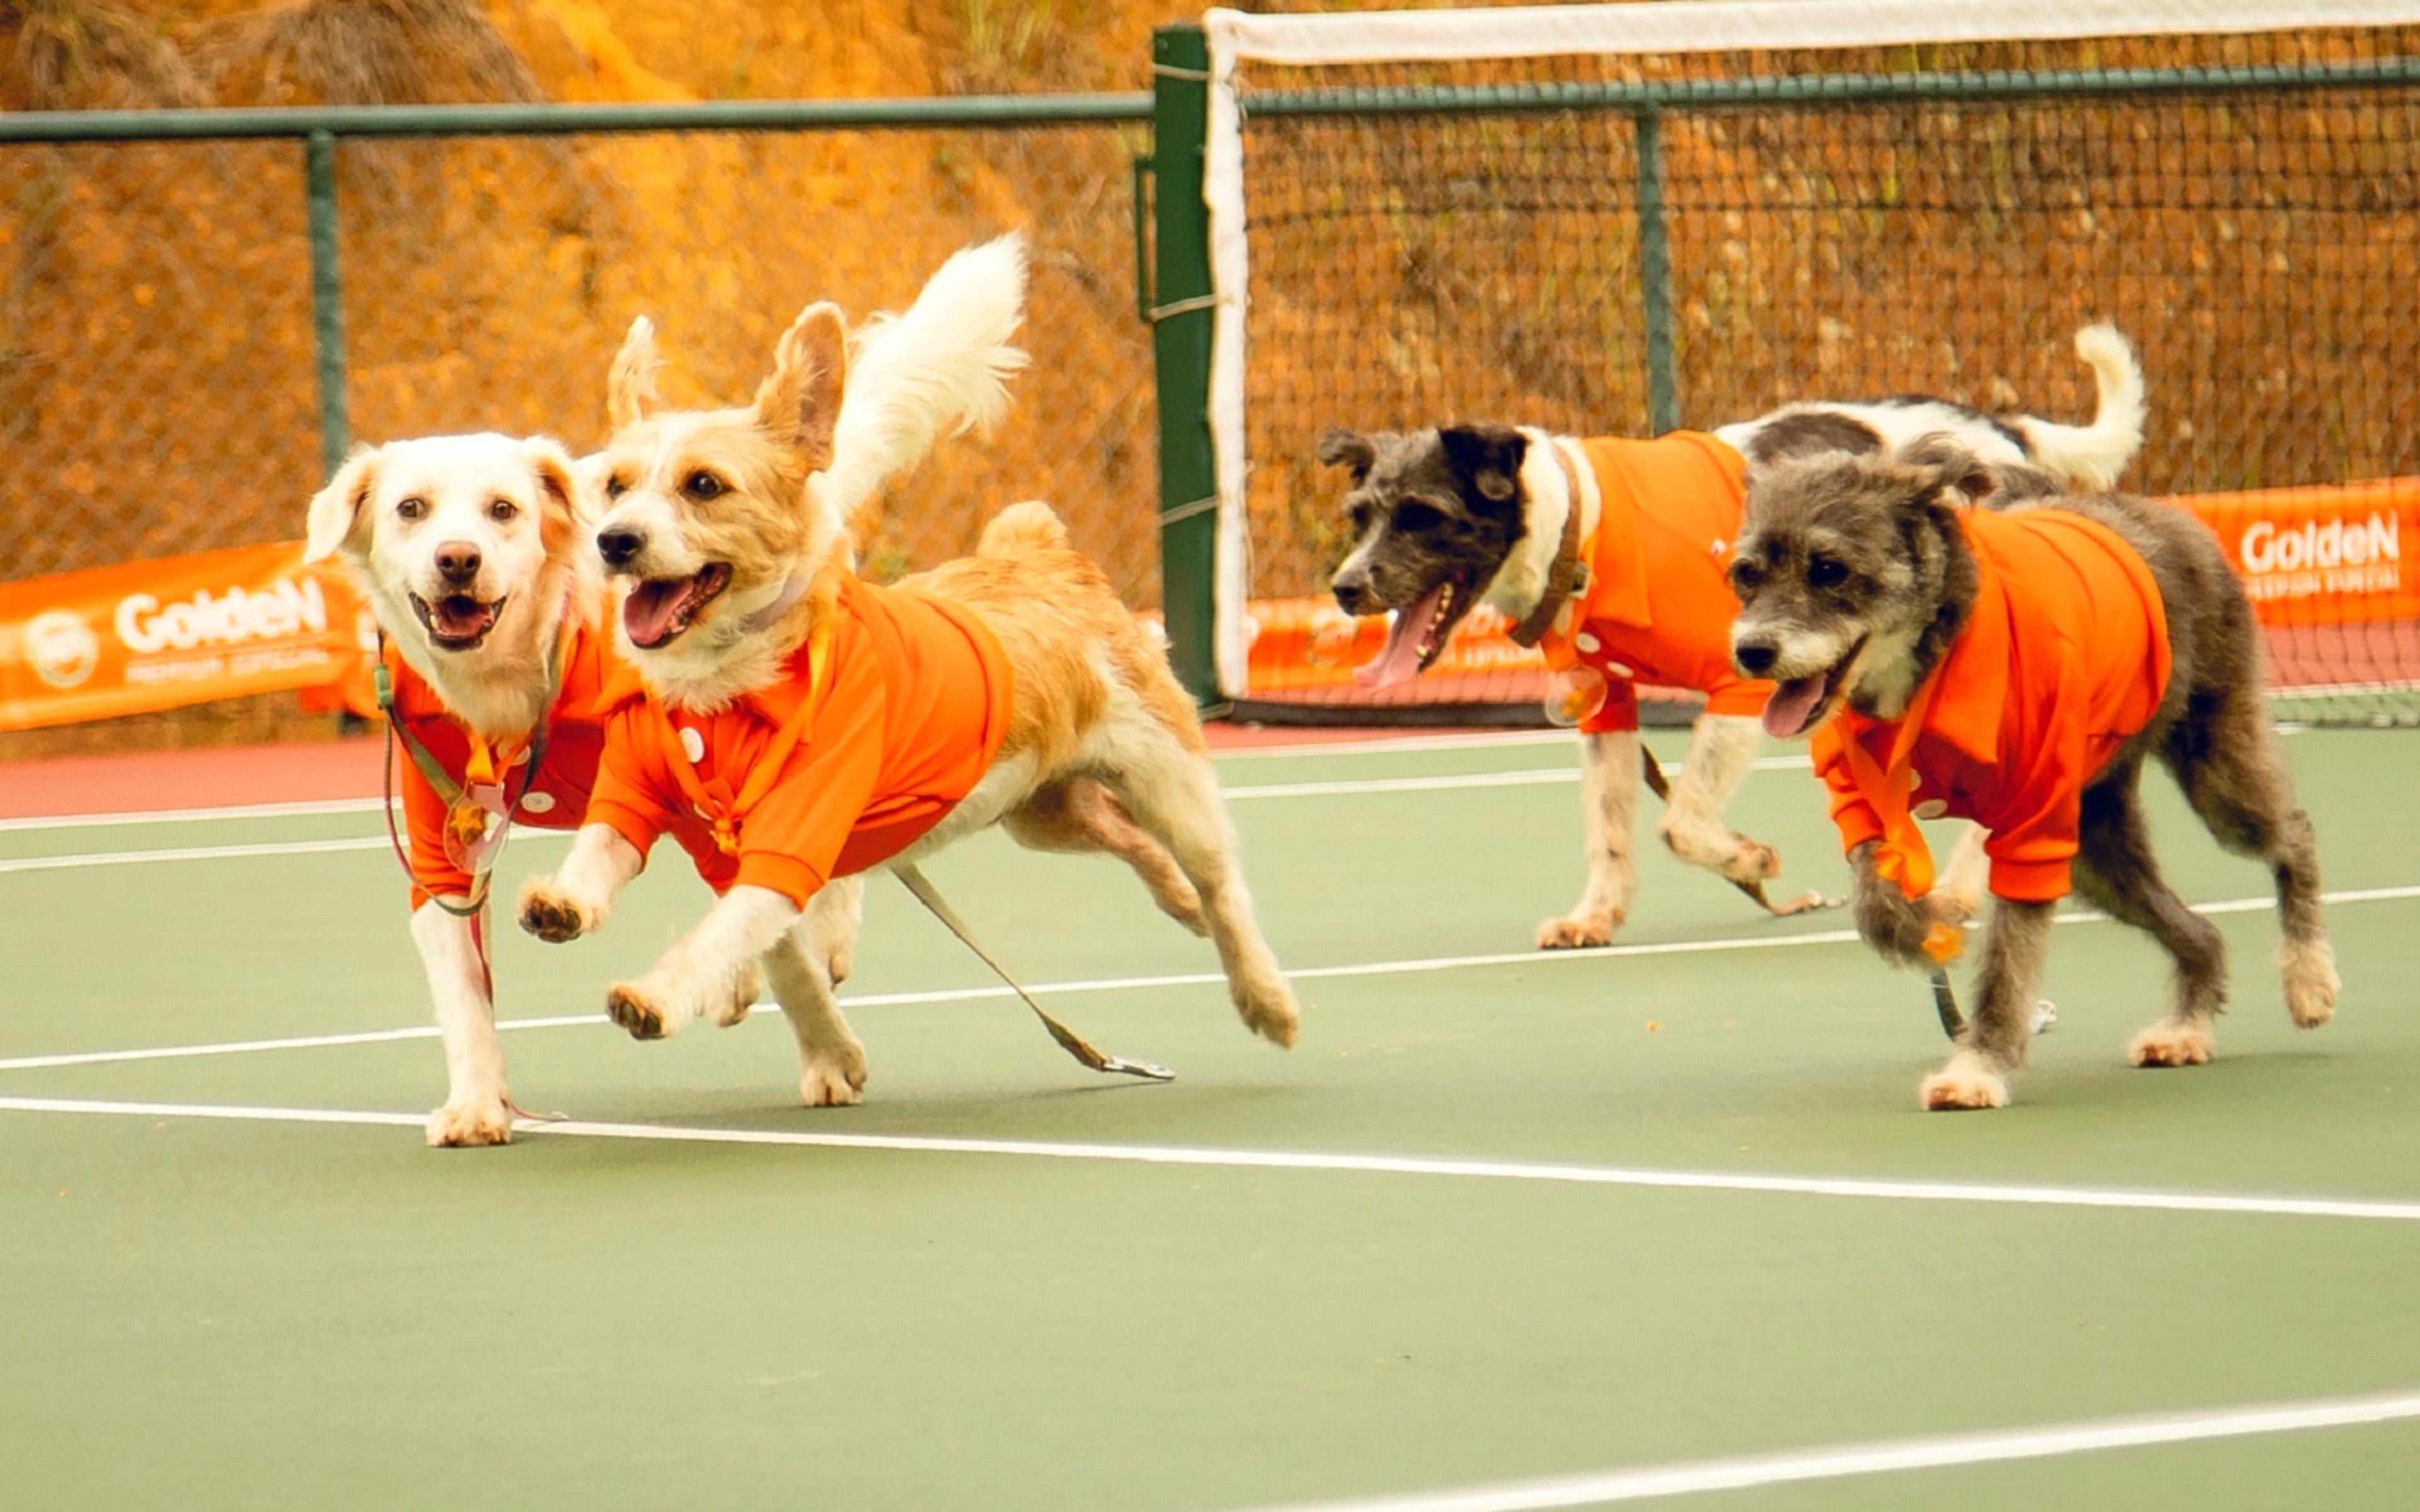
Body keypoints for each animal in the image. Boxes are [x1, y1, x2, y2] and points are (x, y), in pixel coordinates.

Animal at [517, 238, 1297, 1108]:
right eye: (615, 485)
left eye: (705, 485)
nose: (614, 541)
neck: (728, 686)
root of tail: (1040, 552)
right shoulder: (643, 807)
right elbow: (608, 858)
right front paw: (566, 902)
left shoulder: (791, 845)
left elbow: (724, 935)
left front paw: (658, 996)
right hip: (1042, 811)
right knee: (1131, 841)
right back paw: (1178, 901)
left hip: (1169, 782)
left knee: (1224, 889)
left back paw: (1263, 995)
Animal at [1732, 435, 2332, 1108]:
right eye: (1746, 574)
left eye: (1829, 569)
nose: (1753, 652)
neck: (1931, 663)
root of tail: (2173, 518)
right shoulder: (1862, 804)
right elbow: (1876, 907)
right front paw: (1924, 928)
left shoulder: (2032, 829)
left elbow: (2007, 964)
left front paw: (1978, 1068)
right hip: (2096, 851)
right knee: (2201, 933)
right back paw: (2185, 1029)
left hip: (2218, 775)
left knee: (2294, 834)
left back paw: (2308, 977)